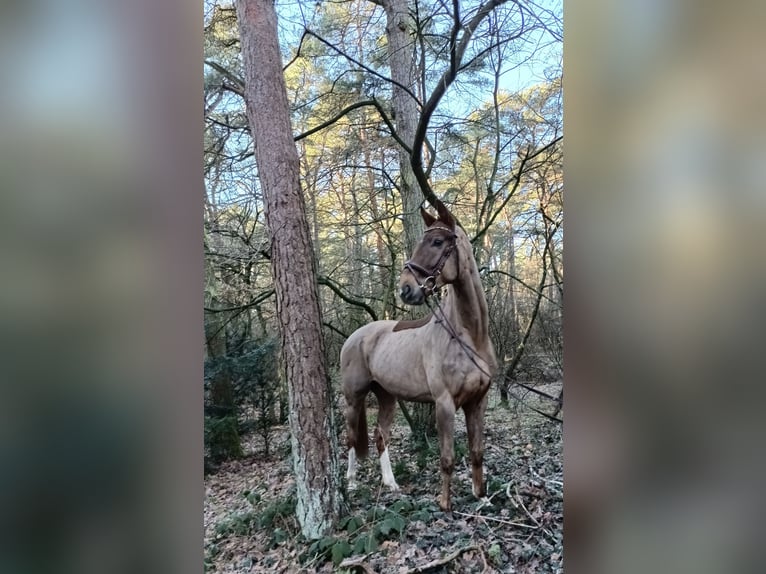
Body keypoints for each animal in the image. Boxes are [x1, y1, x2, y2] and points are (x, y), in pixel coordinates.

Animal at [340, 200, 498, 510]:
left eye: (437, 242)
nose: (406, 289)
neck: (469, 335)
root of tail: (354, 337)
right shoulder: (444, 403)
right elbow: (447, 457)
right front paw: (445, 504)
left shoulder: (478, 402)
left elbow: (477, 451)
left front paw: (482, 497)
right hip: (354, 397)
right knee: (352, 438)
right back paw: (351, 483)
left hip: (387, 396)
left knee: (380, 436)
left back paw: (391, 484)